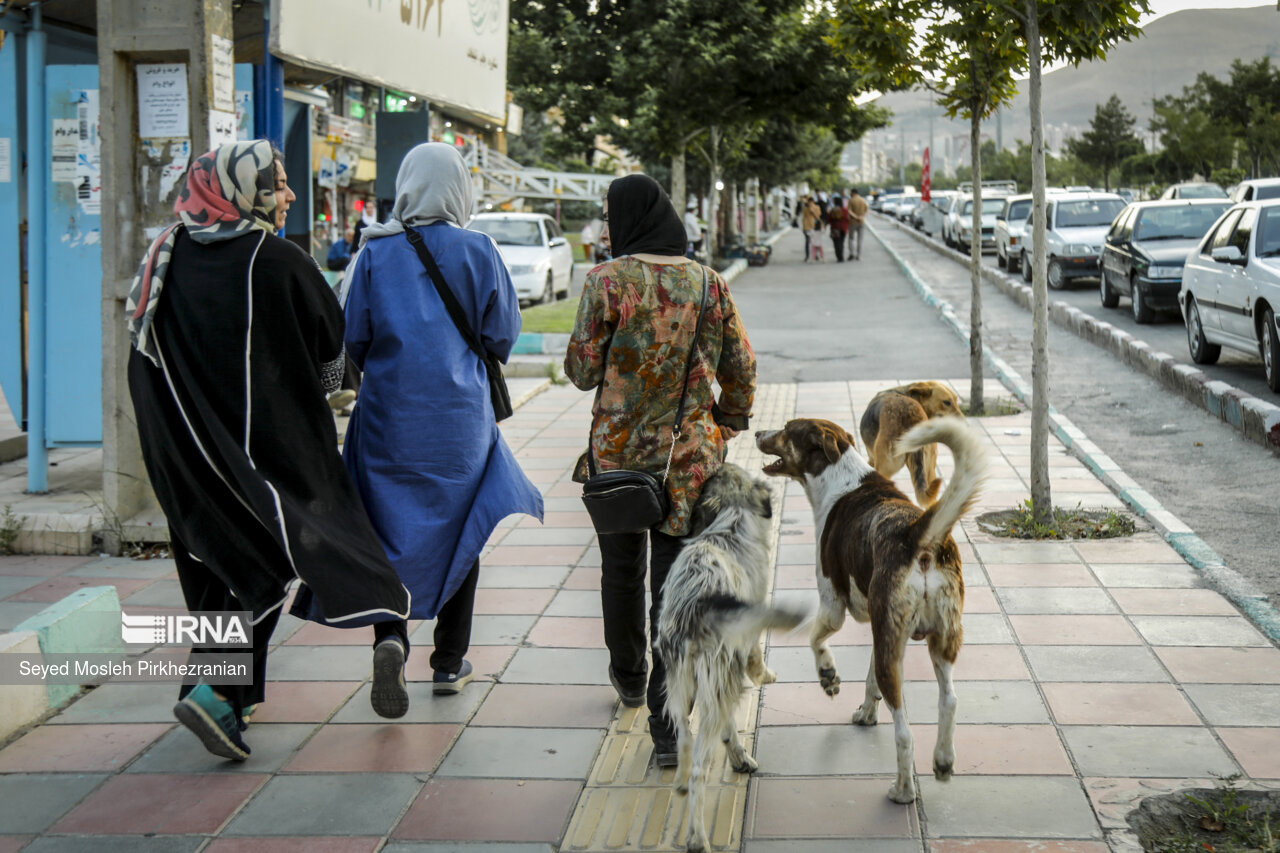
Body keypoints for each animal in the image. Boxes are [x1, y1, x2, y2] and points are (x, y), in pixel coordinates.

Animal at [752, 414, 983, 799]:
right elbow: (870, 676)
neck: (838, 476)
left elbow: (815, 639)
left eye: (786, 428)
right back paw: (943, 760)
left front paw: (828, 676)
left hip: (895, 646)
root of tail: (917, 535)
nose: (755, 431)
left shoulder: (833, 605)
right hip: (936, 637)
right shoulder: (882, 627)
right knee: (949, 700)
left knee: (904, 731)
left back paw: (903, 790)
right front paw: (866, 713)